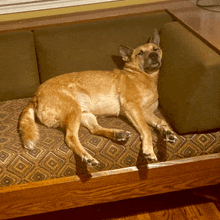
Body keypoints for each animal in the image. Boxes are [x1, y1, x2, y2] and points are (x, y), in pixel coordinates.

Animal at [18, 30, 177, 166]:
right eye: (140, 53)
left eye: (156, 49)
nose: (154, 56)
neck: (143, 76)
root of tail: (35, 96)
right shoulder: (132, 108)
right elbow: (146, 130)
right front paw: (149, 150)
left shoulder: (145, 112)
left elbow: (161, 121)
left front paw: (168, 132)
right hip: (74, 110)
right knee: (70, 138)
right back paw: (87, 158)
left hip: (85, 114)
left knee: (94, 129)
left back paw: (117, 134)